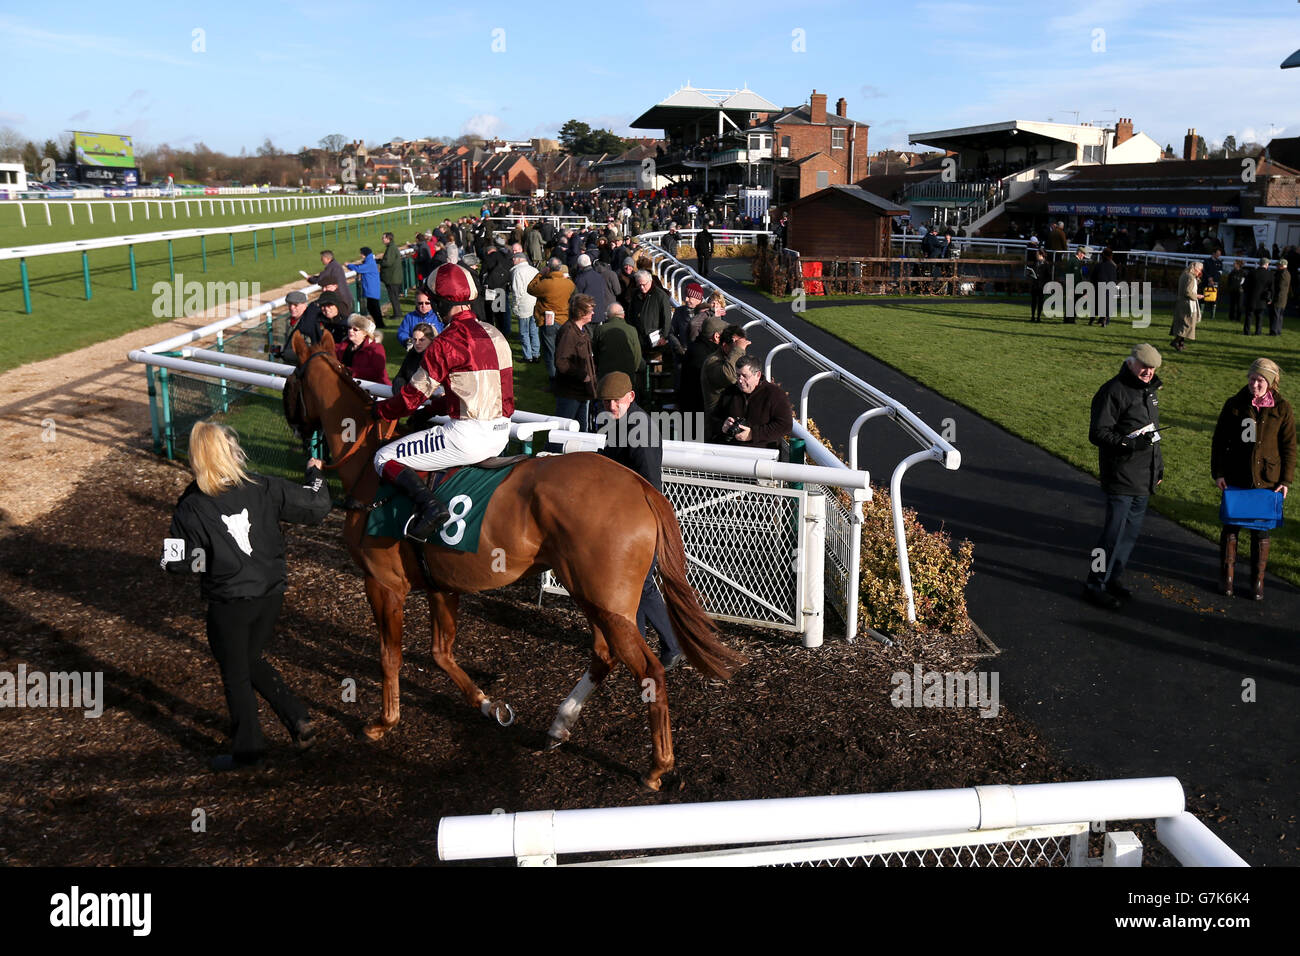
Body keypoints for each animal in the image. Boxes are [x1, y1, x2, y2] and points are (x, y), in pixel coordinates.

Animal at [283, 332, 743, 790]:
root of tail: (641, 486)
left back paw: (657, 765)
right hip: (589, 593)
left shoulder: (382, 584)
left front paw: (383, 721)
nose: (294, 424)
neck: (367, 470)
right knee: (603, 653)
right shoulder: (442, 585)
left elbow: (390, 655)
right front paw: (488, 705)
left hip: (607, 600)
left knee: (648, 669)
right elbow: (441, 652)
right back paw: (559, 725)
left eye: (290, 381)